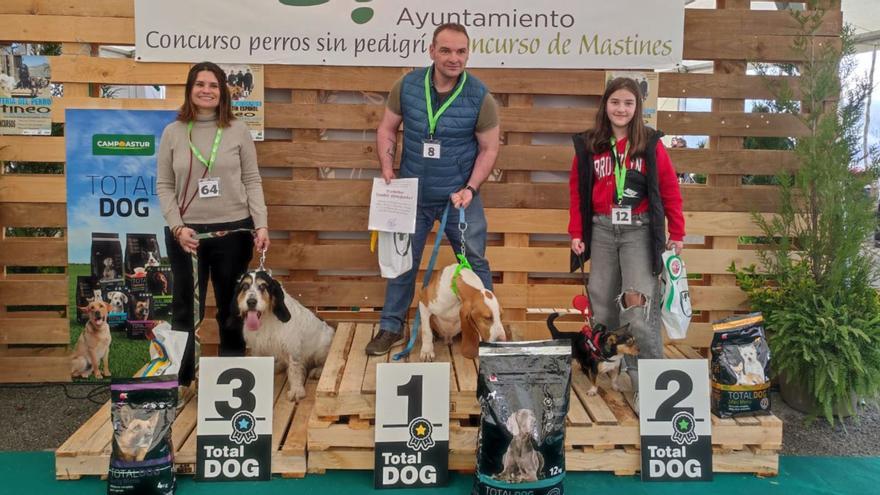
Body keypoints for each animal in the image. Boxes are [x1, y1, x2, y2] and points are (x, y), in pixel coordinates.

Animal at [234, 272, 334, 404]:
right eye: (245, 286)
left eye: (263, 286)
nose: (251, 302)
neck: (266, 318)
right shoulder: (257, 348)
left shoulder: (293, 349)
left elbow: (294, 371)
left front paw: (296, 391)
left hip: (321, 350)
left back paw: (318, 371)